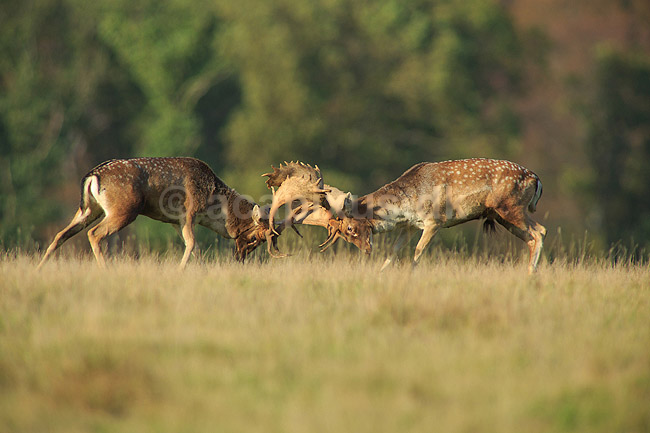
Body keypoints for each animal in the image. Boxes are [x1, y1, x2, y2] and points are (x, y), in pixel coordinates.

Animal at [37, 157, 295, 269]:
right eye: (255, 238)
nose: (240, 258)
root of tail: (92, 176)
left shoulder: (175, 220)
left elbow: (194, 247)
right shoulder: (189, 211)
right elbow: (192, 243)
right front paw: (180, 270)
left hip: (89, 209)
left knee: (61, 234)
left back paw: (40, 268)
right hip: (124, 209)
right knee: (94, 234)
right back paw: (106, 269)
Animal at [325, 159, 547, 273]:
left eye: (350, 228)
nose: (366, 251)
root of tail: (536, 179)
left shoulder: (435, 220)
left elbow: (418, 251)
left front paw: (410, 275)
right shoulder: (410, 225)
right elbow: (394, 250)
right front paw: (380, 273)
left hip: (511, 207)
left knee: (540, 231)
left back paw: (530, 275)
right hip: (502, 214)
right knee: (532, 237)